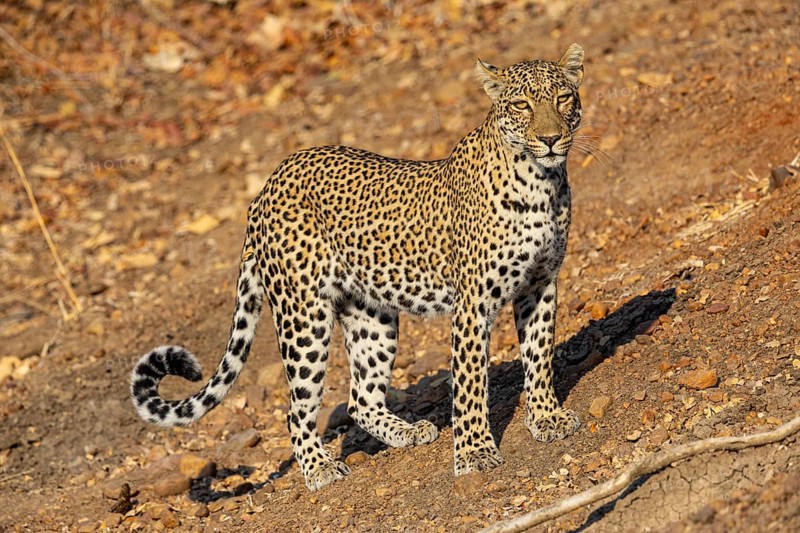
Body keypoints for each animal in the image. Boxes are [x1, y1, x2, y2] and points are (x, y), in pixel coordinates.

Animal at [131, 44, 585, 492]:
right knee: (296, 410)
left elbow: (539, 355)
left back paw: (407, 432)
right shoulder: (473, 303)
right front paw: (474, 452)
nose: (550, 139)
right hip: (303, 318)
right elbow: (471, 382)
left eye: (563, 98)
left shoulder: (541, 284)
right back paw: (319, 468)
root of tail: (265, 187)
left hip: (370, 314)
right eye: (522, 105)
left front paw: (547, 417)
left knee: (360, 398)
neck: (540, 184)